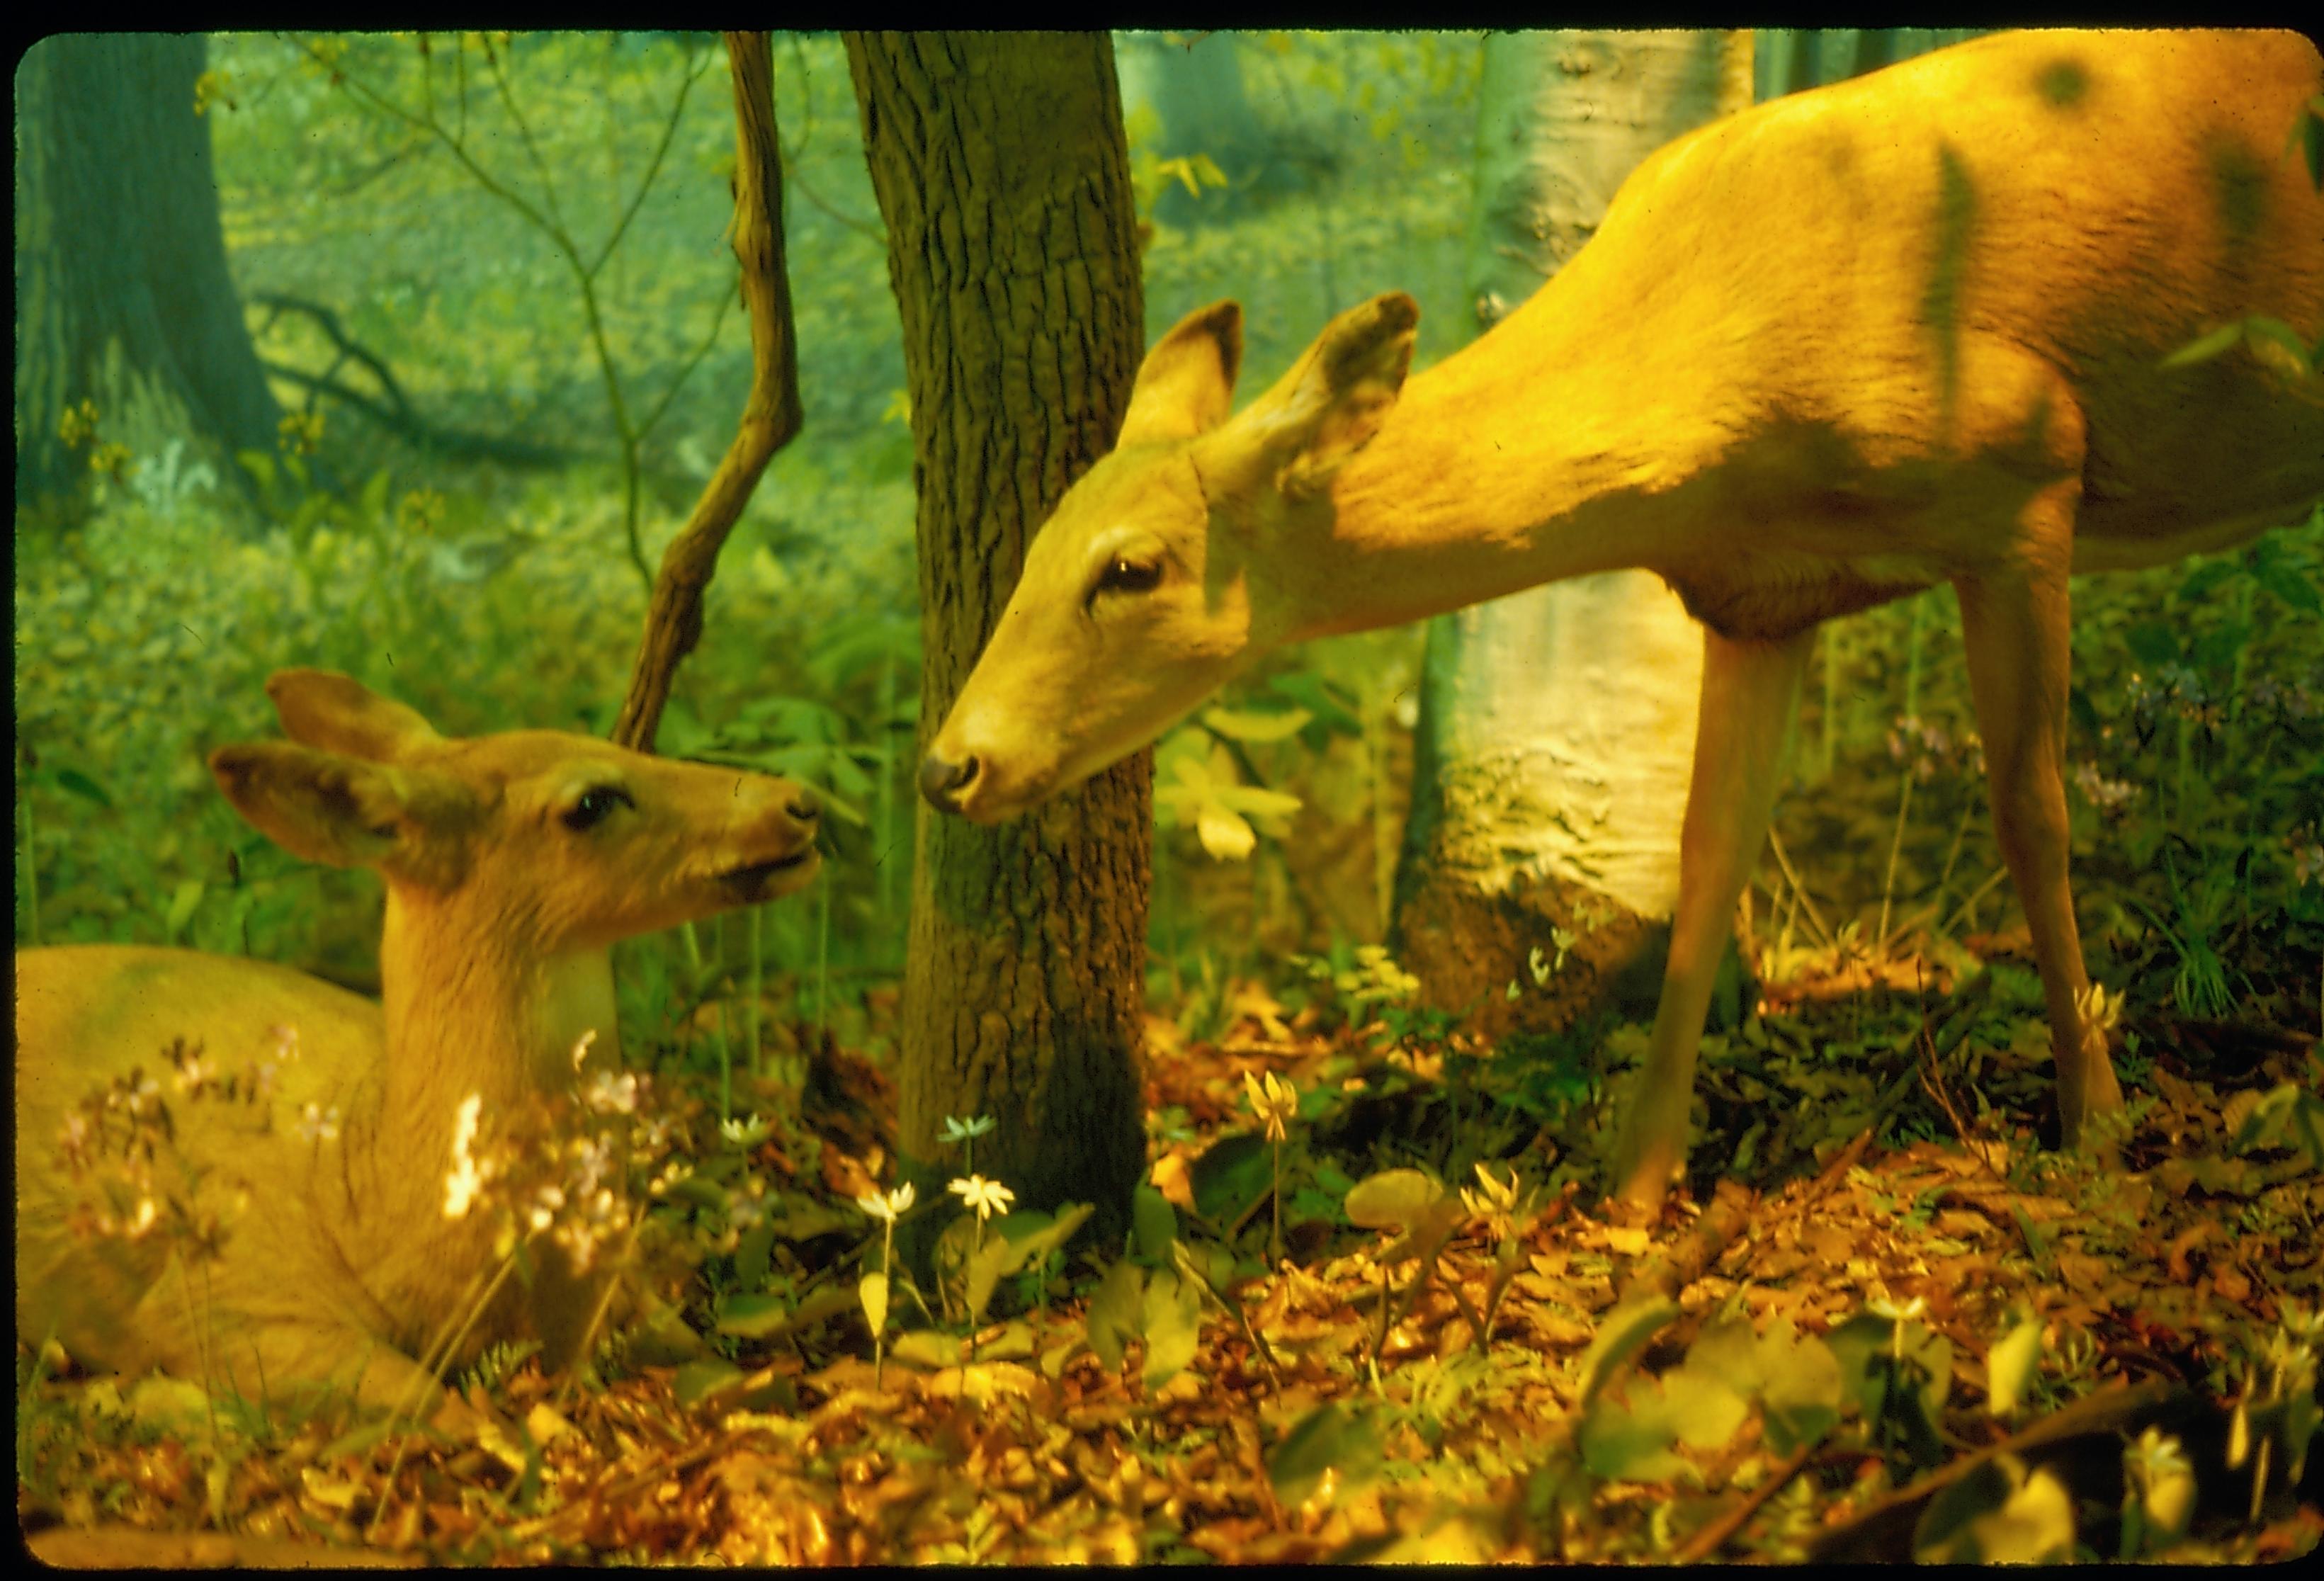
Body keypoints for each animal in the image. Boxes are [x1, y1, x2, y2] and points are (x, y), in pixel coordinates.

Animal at [911, 28, 2324, 1208]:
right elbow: (1704, 867)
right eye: (1030, 543)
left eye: (1130, 568)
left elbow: (2033, 812)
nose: (950, 765)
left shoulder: (2025, 470)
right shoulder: (1761, 593)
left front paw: (2095, 1119)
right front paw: (1635, 1185)